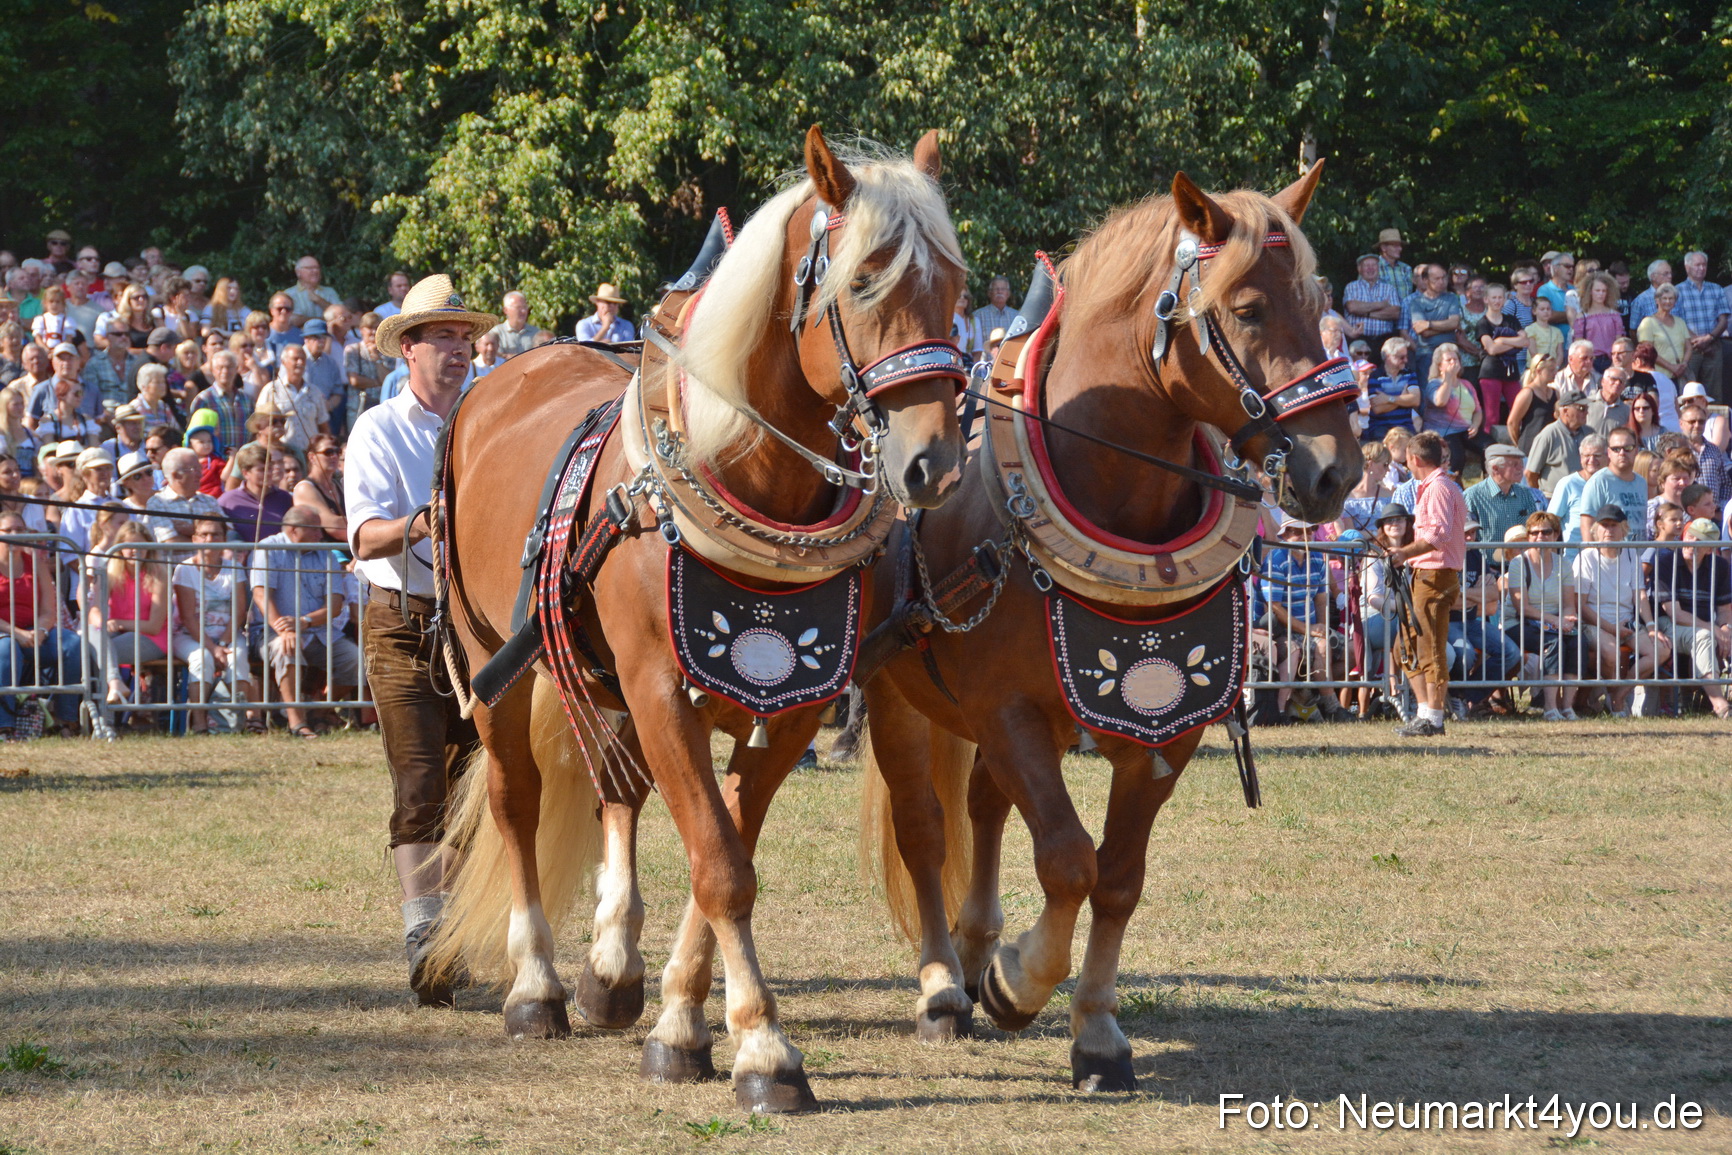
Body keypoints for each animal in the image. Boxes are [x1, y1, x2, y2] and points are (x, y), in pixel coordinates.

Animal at [430, 126, 968, 1114]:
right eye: (864, 282)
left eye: (953, 283)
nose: (932, 462)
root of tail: (505, 370)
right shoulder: (657, 687)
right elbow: (719, 861)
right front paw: (761, 1048)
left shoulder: (793, 703)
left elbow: (726, 848)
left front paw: (684, 1017)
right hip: (493, 660)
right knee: (519, 802)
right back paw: (538, 985)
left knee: (617, 791)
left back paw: (610, 967)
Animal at [856, 164, 1364, 1091]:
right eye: (1247, 308)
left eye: (1317, 299)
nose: (1335, 469)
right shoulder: (1010, 712)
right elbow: (1067, 858)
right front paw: (1020, 981)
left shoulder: (1162, 729)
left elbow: (1118, 876)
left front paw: (1093, 1030)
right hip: (899, 696)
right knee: (925, 828)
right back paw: (947, 986)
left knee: (984, 807)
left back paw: (977, 946)